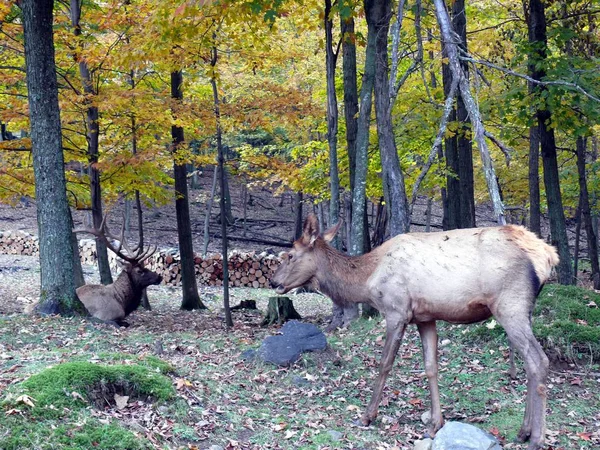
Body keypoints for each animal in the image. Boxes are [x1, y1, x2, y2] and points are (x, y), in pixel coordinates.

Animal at [272, 213, 556, 448]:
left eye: (290, 255)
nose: (274, 282)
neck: (366, 280)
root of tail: (548, 255)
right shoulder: (425, 317)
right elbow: (431, 367)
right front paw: (435, 424)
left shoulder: (396, 311)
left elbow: (385, 363)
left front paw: (366, 416)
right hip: (524, 310)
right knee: (531, 364)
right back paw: (523, 432)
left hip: (510, 305)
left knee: (539, 361)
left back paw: (537, 439)